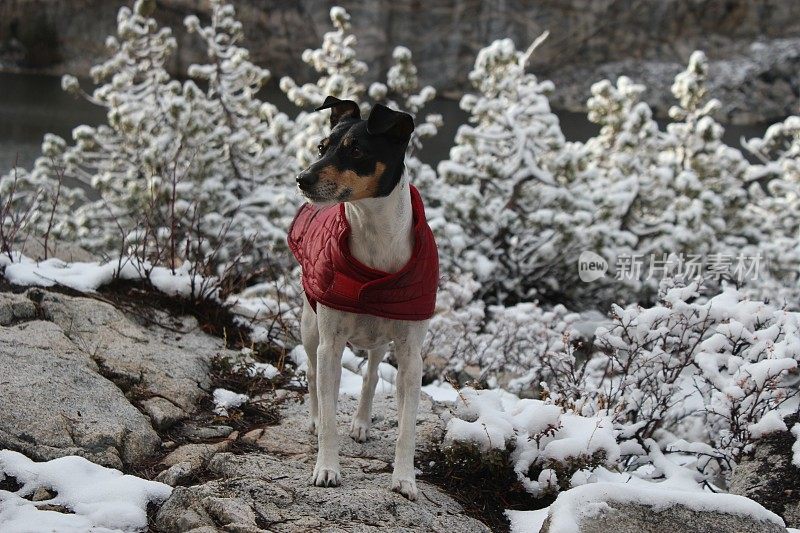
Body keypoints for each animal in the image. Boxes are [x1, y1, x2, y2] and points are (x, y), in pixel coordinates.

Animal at [286, 94, 438, 498]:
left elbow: (406, 427)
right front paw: (326, 468)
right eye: (322, 147)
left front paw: (405, 479)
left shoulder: (411, 355)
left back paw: (362, 422)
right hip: (310, 327)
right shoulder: (330, 345)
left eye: (356, 150)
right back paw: (312, 418)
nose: (302, 178)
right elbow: (328, 417)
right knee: (311, 373)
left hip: (381, 342)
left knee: (370, 375)